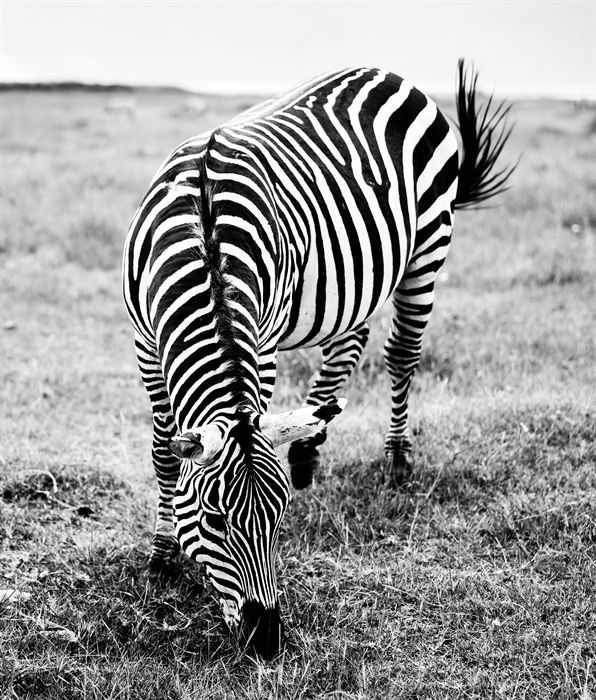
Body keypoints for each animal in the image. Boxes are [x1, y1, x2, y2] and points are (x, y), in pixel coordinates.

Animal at [122, 60, 513, 659]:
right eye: (212, 519)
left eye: (279, 516)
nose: (266, 641)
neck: (204, 234)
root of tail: (391, 73)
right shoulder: (147, 345)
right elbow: (165, 452)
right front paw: (162, 558)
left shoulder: (261, 344)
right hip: (355, 276)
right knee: (350, 338)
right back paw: (308, 443)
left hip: (429, 246)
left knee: (401, 354)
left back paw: (396, 460)